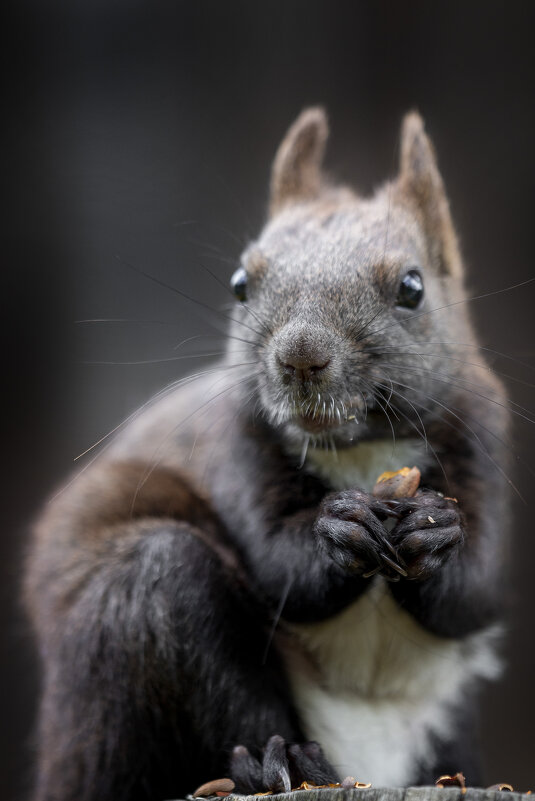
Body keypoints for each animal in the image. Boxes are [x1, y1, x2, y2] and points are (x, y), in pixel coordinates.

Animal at [24, 111, 510, 800]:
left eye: (413, 287)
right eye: (239, 284)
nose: (301, 355)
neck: (359, 452)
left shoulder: (485, 437)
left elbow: (475, 590)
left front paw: (436, 529)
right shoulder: (233, 445)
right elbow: (282, 567)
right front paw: (338, 527)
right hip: (140, 614)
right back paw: (278, 764)